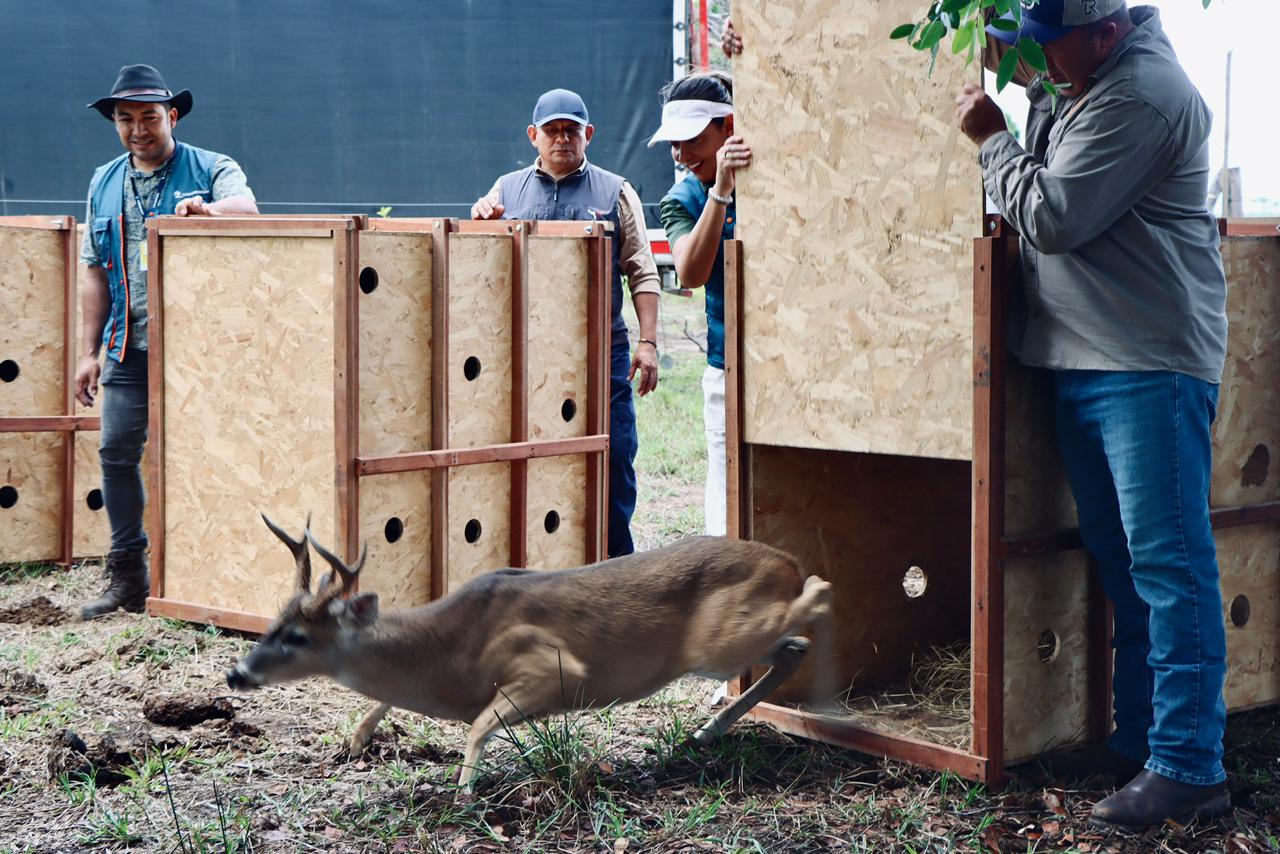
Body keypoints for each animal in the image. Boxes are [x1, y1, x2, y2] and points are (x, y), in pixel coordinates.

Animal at [226, 513, 833, 792]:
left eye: (298, 637)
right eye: (272, 623)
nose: (236, 674)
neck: (450, 653)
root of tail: (784, 562)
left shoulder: (551, 666)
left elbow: (478, 725)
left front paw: (465, 790)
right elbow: (387, 703)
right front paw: (355, 741)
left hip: (719, 642)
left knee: (814, 606)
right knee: (793, 644)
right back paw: (707, 732)